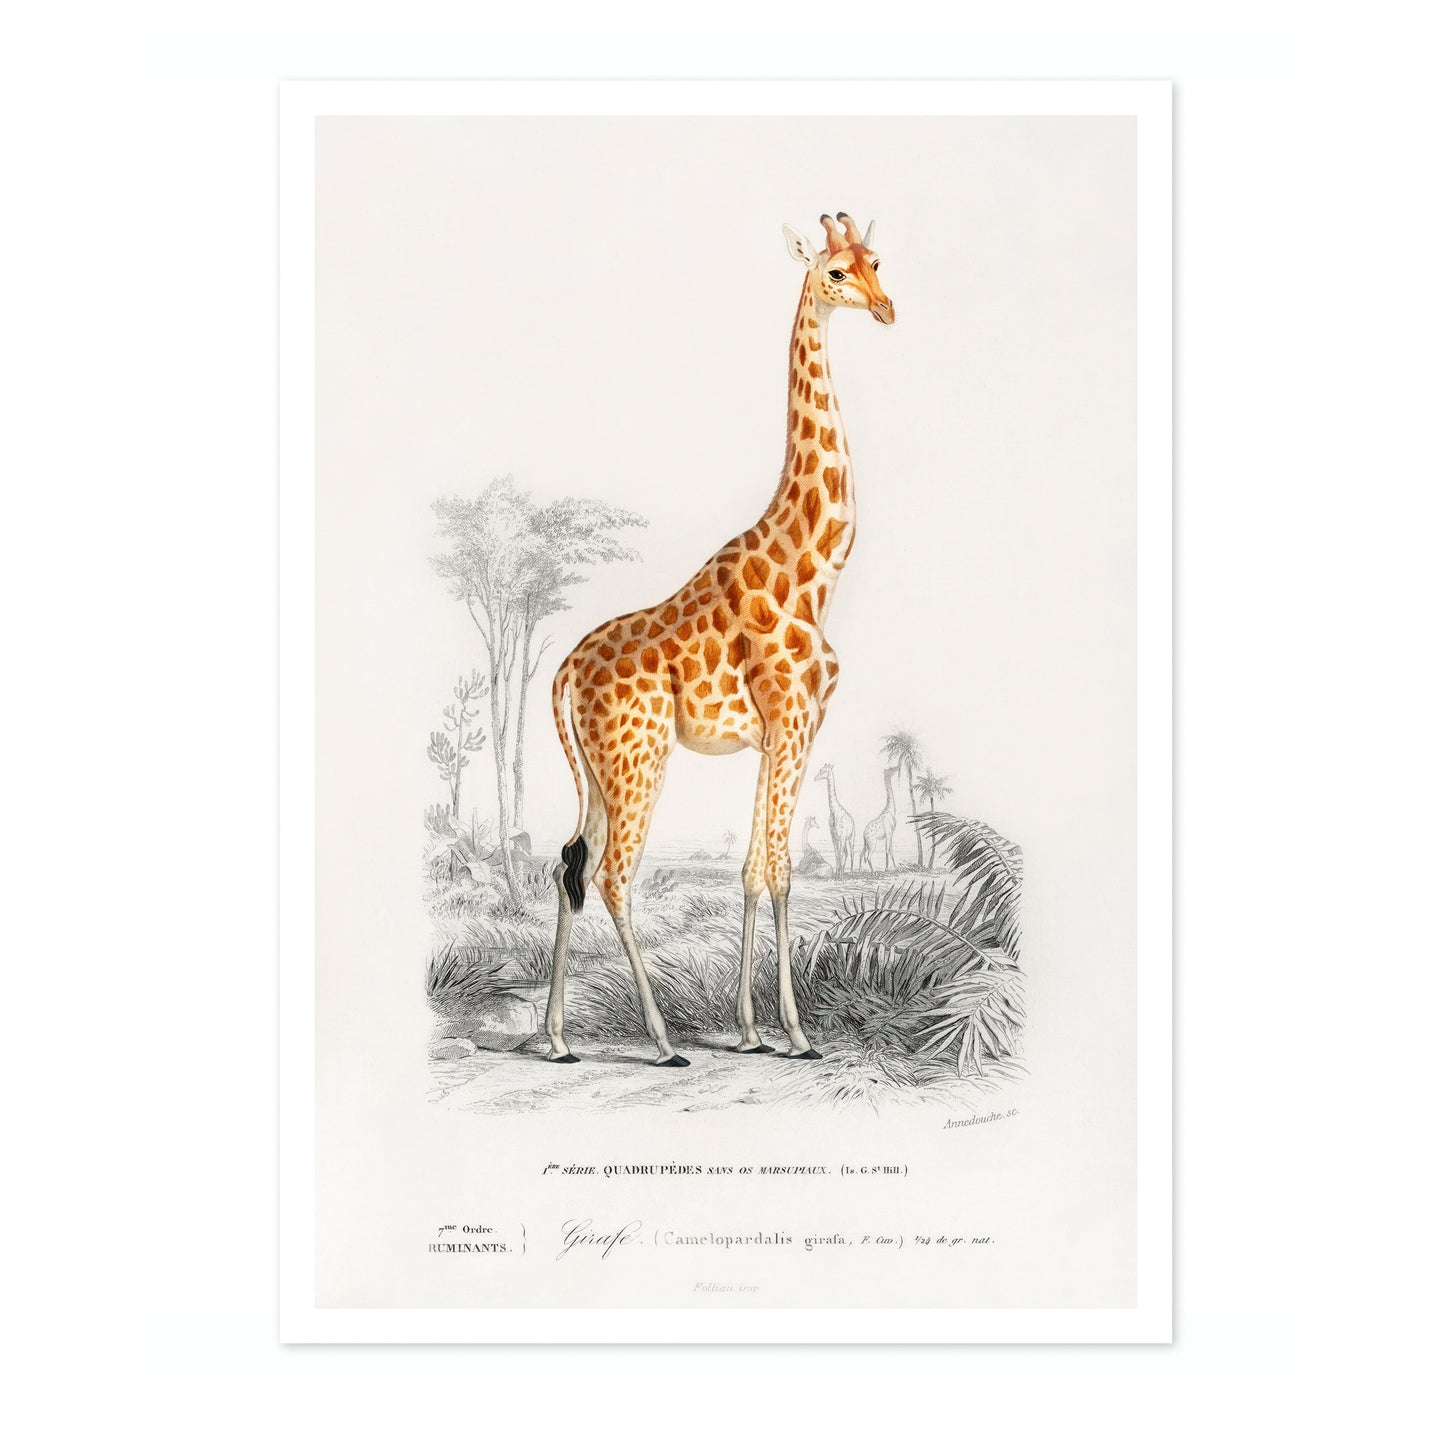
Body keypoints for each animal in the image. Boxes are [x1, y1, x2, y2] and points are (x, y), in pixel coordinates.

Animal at [543, 211, 894, 1066]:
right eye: (834, 272)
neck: (814, 569)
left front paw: (752, 1029)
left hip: (600, 771)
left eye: (876, 260)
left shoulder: (781, 734)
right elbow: (780, 870)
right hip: (637, 760)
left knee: (569, 863)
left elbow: (753, 868)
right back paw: (663, 1040)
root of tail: (563, 670)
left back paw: (557, 1039)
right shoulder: (793, 722)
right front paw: (796, 1033)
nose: (885, 308)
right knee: (612, 876)